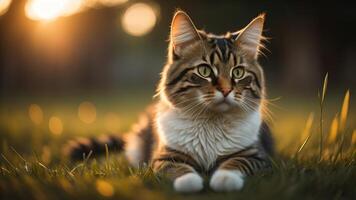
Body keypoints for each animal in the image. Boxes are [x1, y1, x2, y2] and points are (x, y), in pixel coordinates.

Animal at [65, 10, 274, 192]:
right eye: (204, 70)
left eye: (238, 72)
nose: (226, 90)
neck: (211, 122)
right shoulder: (165, 156)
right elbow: (179, 170)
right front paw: (191, 183)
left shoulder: (255, 155)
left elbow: (235, 164)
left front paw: (224, 180)